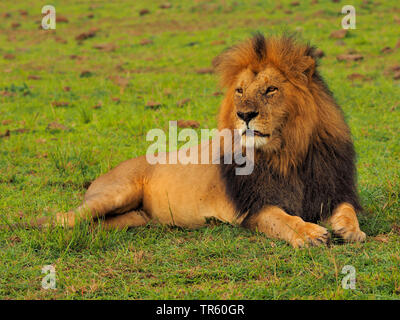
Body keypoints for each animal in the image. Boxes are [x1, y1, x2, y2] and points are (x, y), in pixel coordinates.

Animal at [28, 33, 366, 248]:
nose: (245, 114)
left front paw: (350, 230)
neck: (287, 154)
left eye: (271, 89)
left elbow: (347, 209)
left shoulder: (332, 189)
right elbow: (284, 219)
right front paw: (310, 233)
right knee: (64, 218)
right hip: (113, 194)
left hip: (135, 218)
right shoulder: (255, 208)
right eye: (240, 91)